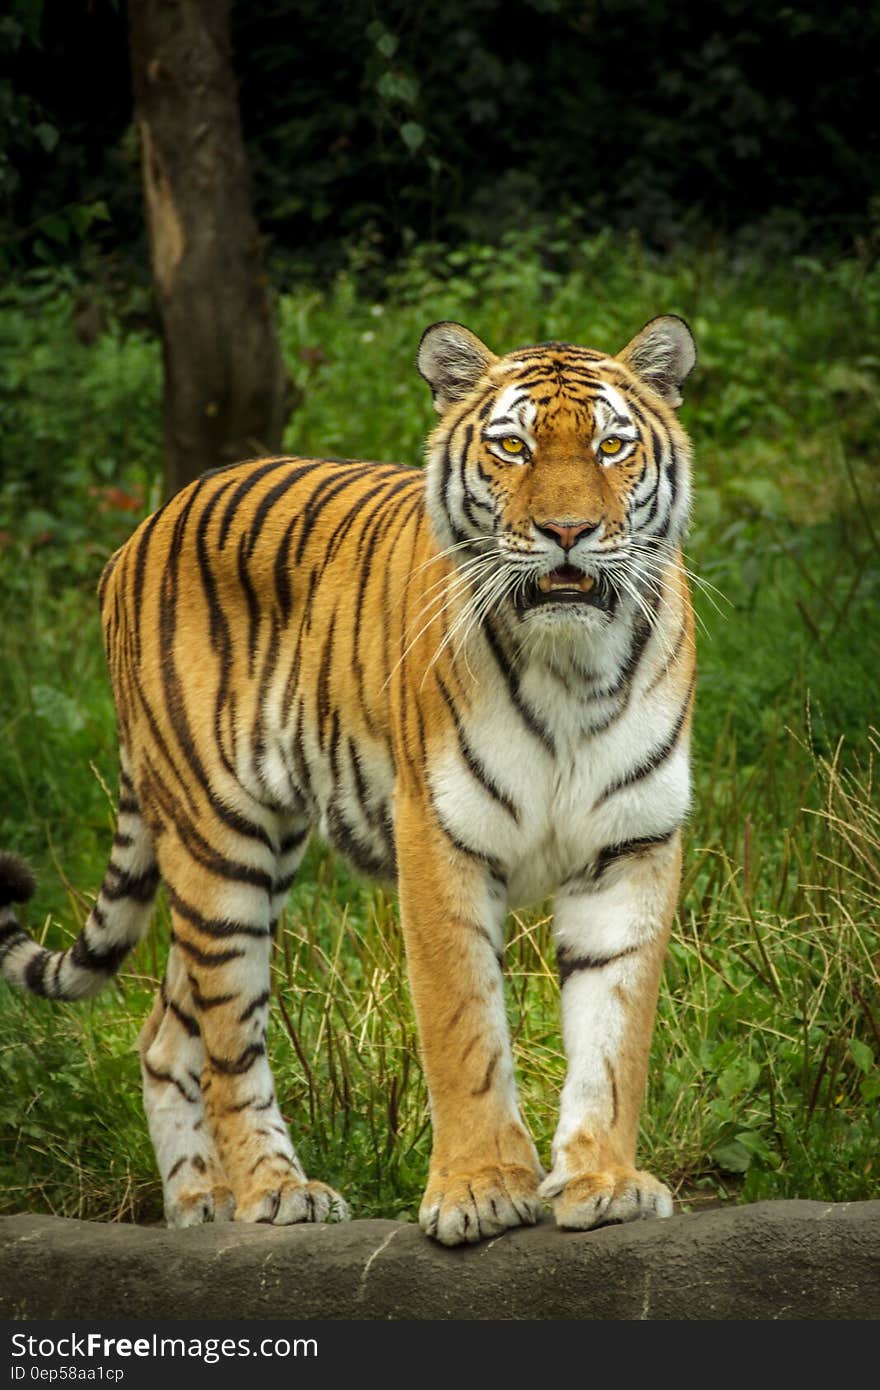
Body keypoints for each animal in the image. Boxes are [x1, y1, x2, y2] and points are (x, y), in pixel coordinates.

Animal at [1, 318, 700, 1251]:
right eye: (511, 447)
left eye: (611, 446)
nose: (567, 530)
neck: (572, 665)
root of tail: (149, 522)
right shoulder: (438, 837)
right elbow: (463, 1028)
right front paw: (479, 1190)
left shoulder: (631, 846)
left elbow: (615, 1037)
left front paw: (605, 1181)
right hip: (219, 846)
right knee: (227, 1043)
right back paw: (274, 1192)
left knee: (165, 1036)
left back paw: (198, 1204)